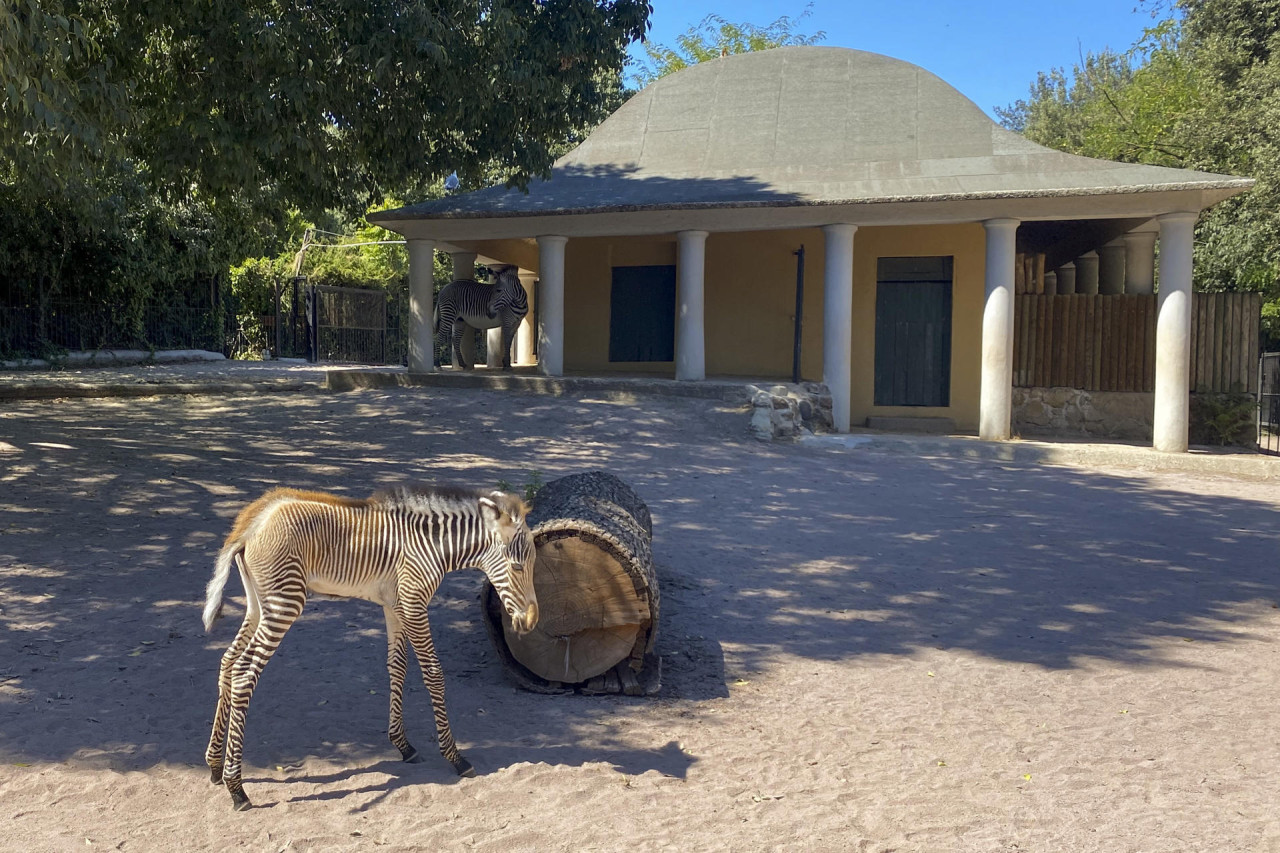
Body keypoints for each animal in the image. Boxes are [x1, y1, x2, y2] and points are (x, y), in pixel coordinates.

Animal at [200, 481, 540, 809]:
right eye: (517, 567)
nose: (531, 622)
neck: (431, 546)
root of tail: (253, 519)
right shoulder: (414, 604)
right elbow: (433, 674)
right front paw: (455, 757)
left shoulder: (395, 605)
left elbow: (397, 667)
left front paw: (403, 745)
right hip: (284, 603)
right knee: (243, 673)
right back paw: (237, 788)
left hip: (258, 605)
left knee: (227, 662)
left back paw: (215, 766)